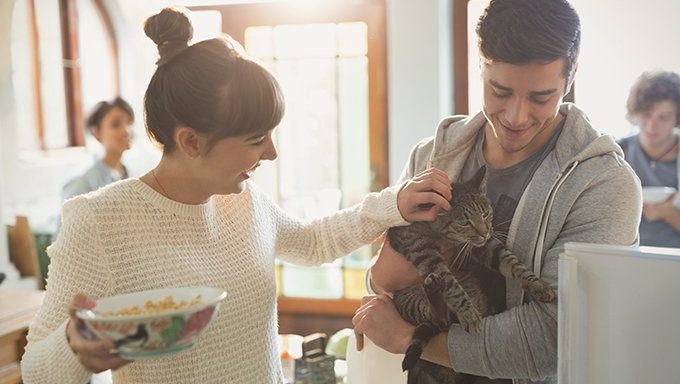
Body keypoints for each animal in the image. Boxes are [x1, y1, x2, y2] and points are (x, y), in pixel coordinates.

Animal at [386, 166, 556, 384]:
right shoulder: (422, 250)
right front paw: (467, 312)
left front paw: (537, 285)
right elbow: (450, 283)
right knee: (436, 318)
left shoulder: (486, 247)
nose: (485, 232)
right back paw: (437, 291)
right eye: (466, 223)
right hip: (408, 299)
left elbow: (513, 262)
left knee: (441, 321)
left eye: (485, 214)